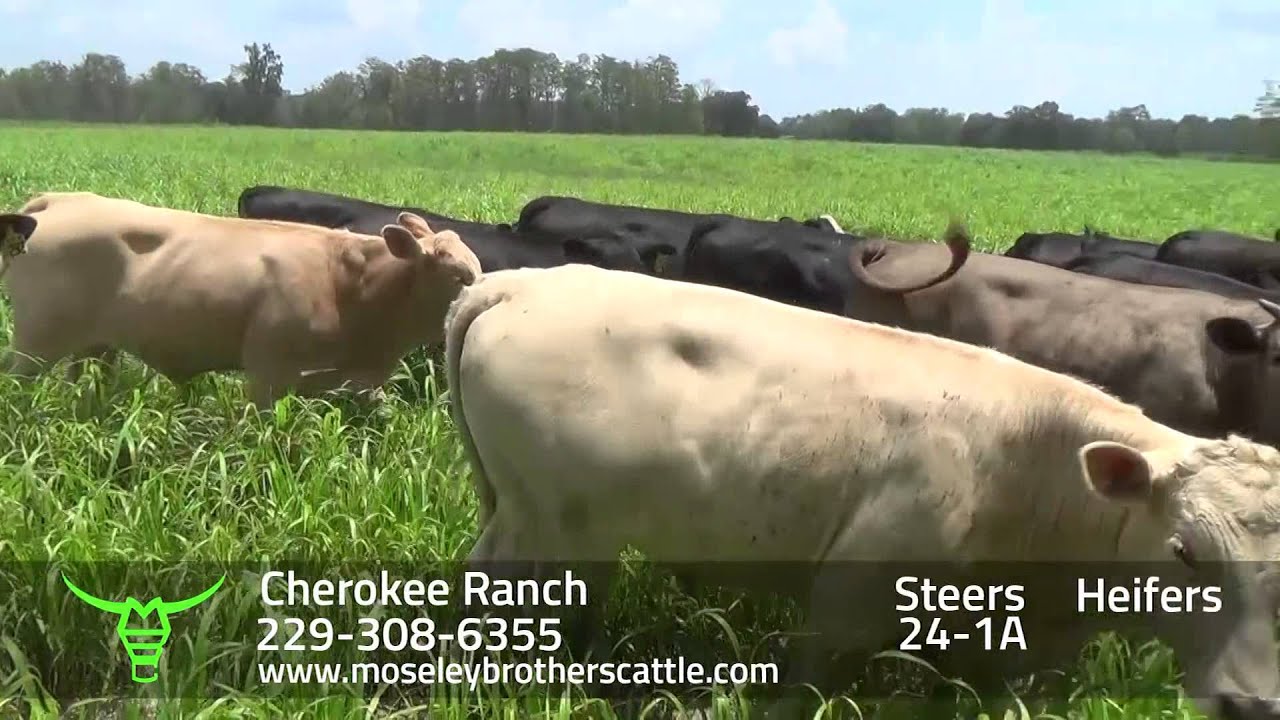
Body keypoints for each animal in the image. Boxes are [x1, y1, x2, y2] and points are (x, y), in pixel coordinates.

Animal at [0, 192, 480, 407]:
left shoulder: (354, 383)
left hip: (94, 347)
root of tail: (57, 202)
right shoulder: (268, 373)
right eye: (461, 276)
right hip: (35, 345)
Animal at [443, 262, 1280, 720]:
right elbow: (808, 685)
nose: (1251, 705)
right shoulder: (851, 594)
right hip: (547, 524)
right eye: (1186, 552)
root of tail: (521, 282)